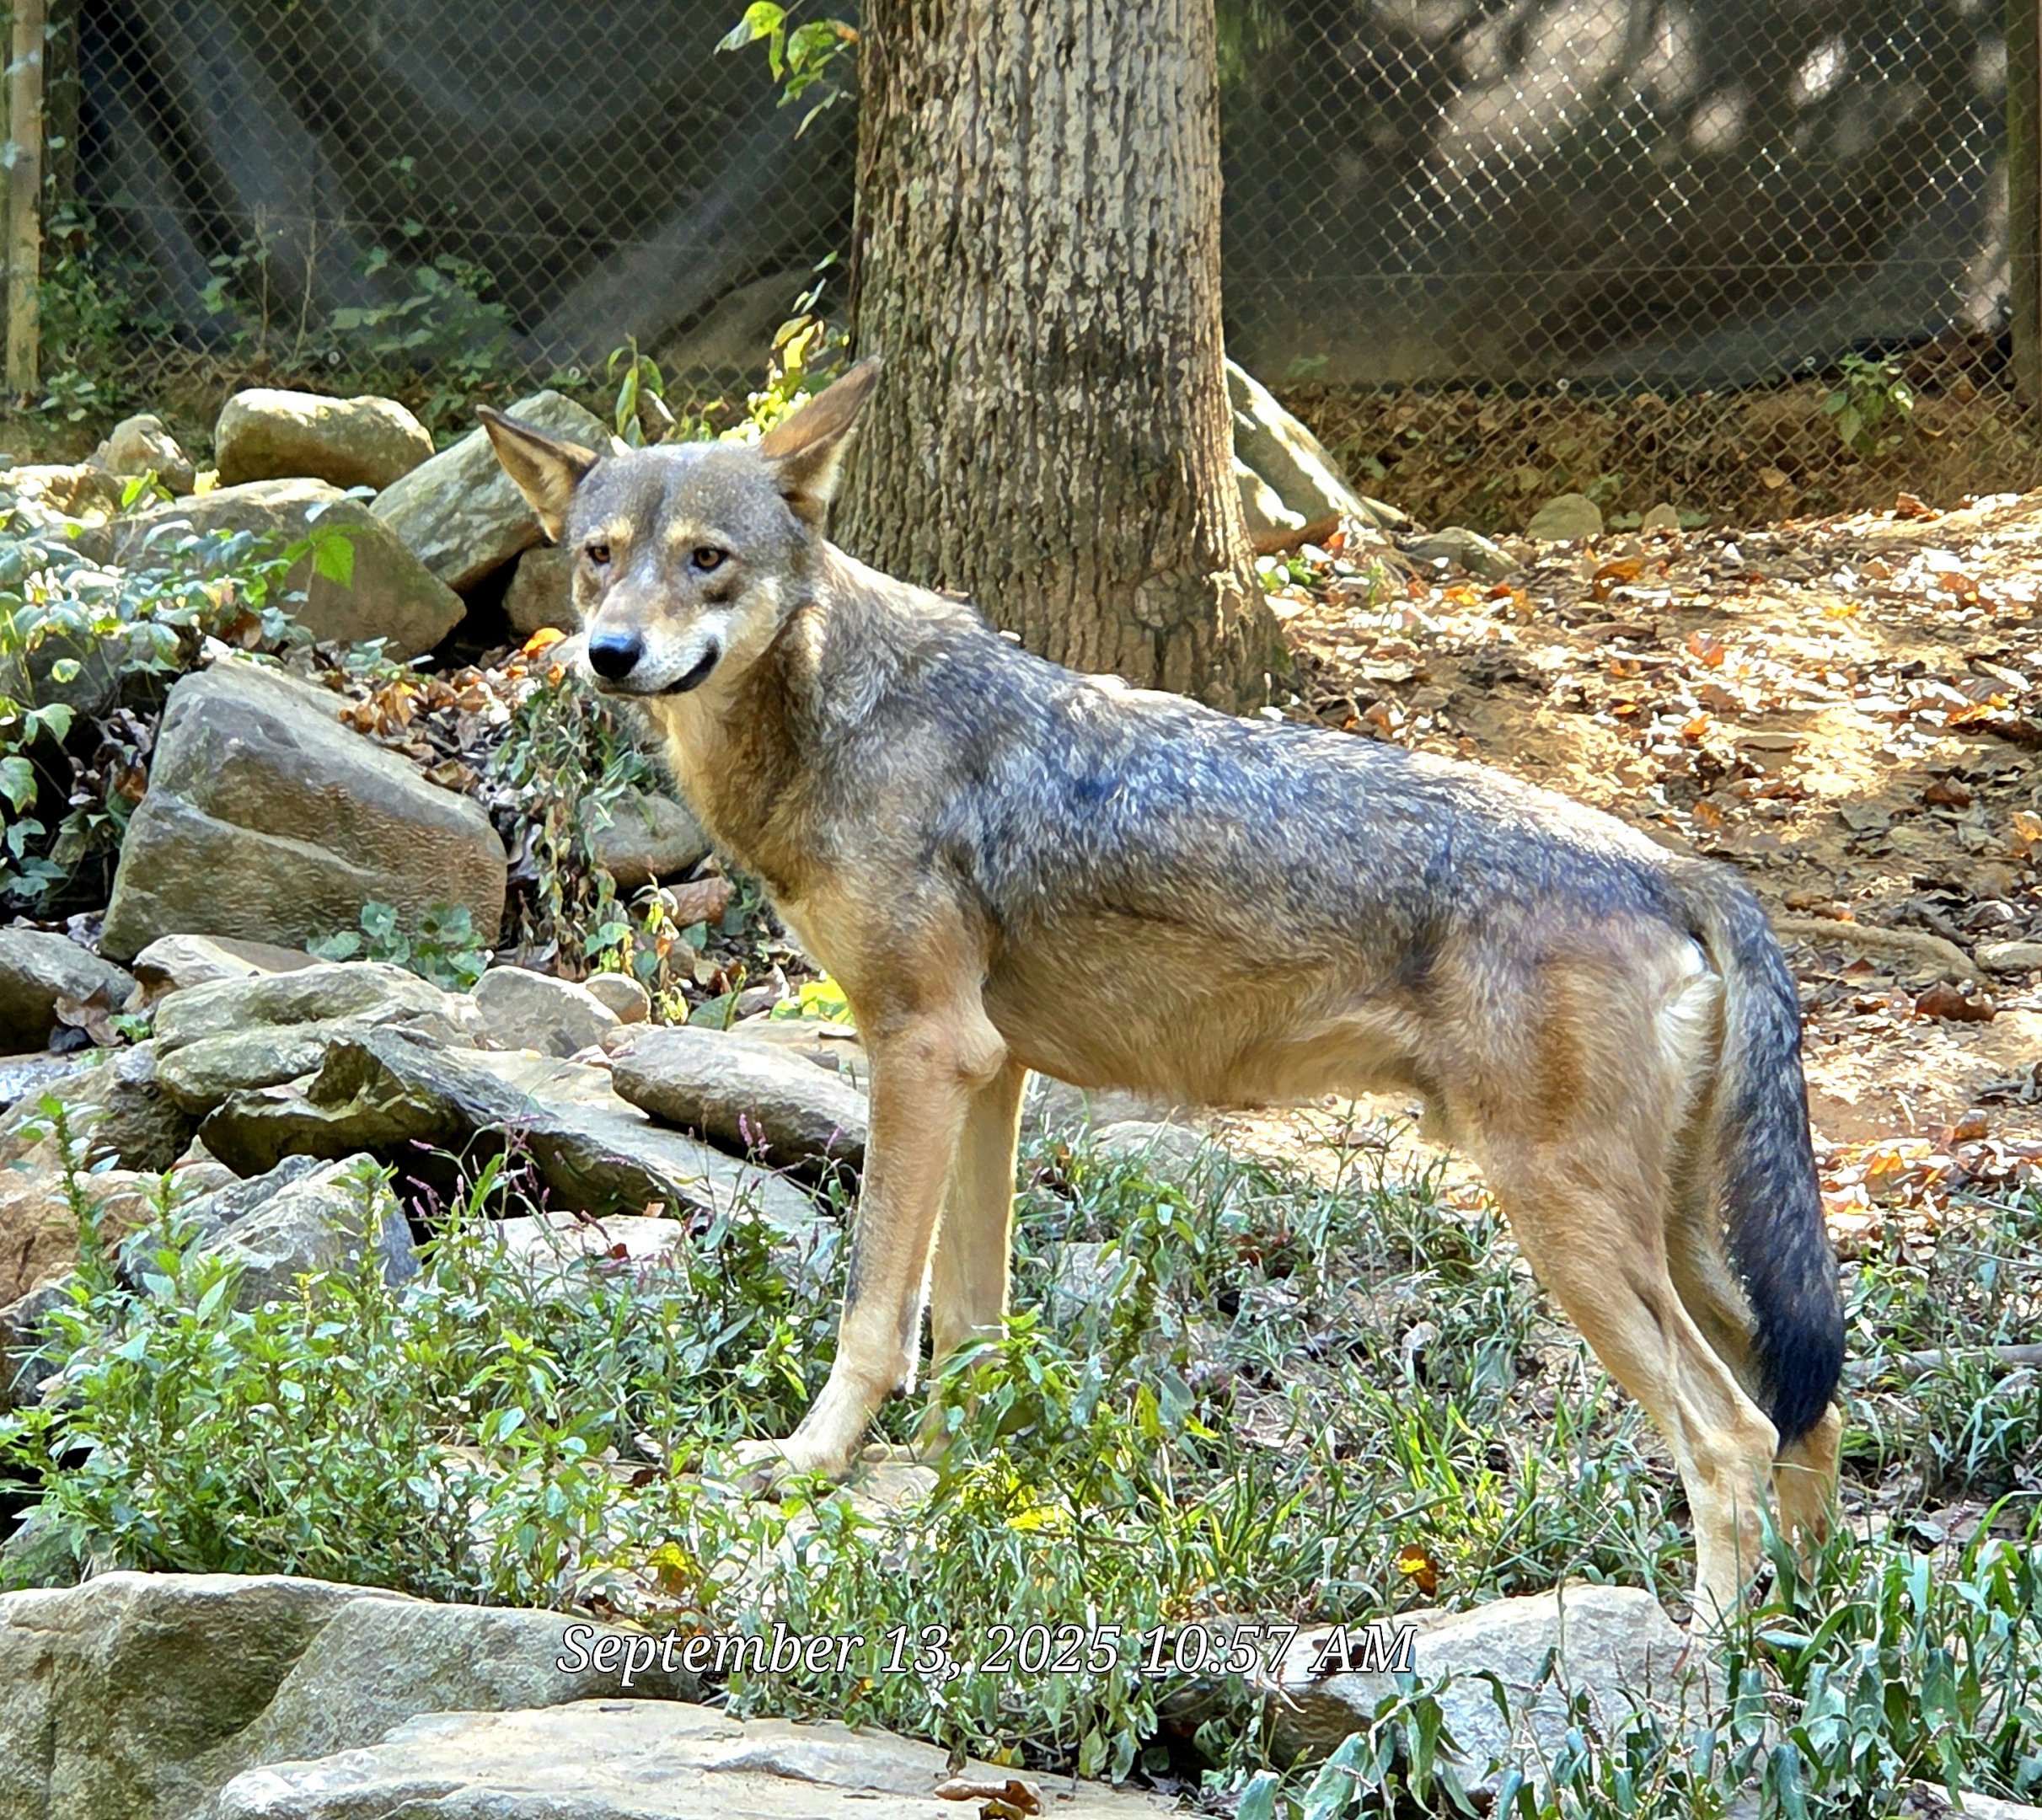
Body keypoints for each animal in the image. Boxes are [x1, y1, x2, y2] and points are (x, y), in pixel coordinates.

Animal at [480, 362, 1844, 1624]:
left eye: (706, 560)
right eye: (599, 558)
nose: (609, 655)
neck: (834, 716)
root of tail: (1668, 865)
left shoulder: (919, 1050)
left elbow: (874, 1313)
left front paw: (814, 1466)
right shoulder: (986, 1074)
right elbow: (969, 1323)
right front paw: (971, 1481)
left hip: (1563, 1221)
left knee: (1726, 1434)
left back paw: (1699, 1658)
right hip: (1671, 1238)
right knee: (1805, 1417)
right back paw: (1803, 1631)